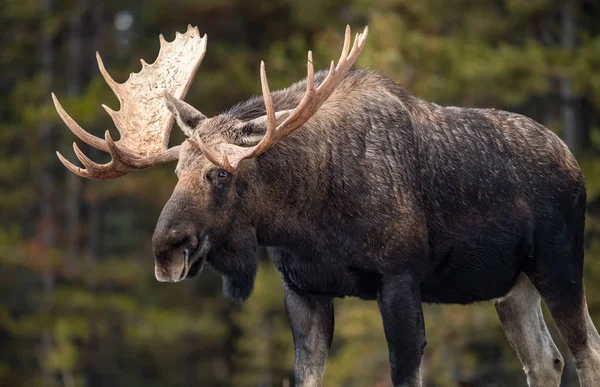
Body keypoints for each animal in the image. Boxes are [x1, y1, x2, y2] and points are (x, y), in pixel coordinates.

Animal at [52, 25, 600, 386]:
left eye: (220, 173)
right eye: (176, 171)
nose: (167, 248)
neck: (306, 219)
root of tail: (574, 163)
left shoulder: (399, 279)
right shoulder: (304, 289)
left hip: (559, 265)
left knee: (586, 350)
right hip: (511, 286)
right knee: (545, 361)